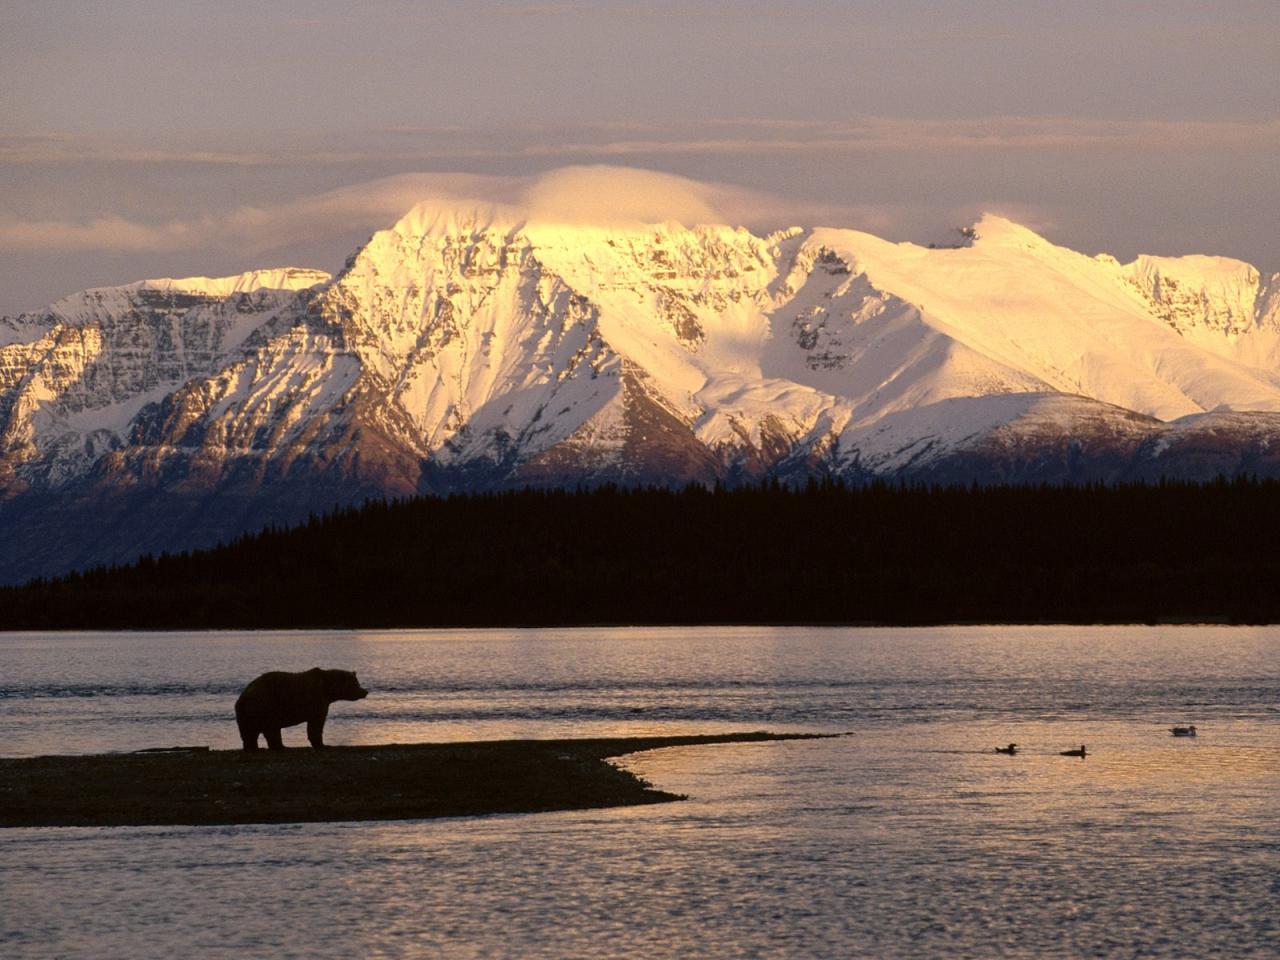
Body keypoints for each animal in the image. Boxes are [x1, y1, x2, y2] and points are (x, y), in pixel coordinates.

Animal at [235, 670, 368, 752]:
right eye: (356, 683)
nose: (365, 691)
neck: (328, 690)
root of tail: (244, 695)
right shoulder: (317, 700)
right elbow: (316, 724)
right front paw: (323, 745)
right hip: (266, 704)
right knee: (270, 728)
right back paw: (280, 747)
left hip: (246, 712)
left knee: (249, 731)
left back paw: (255, 748)